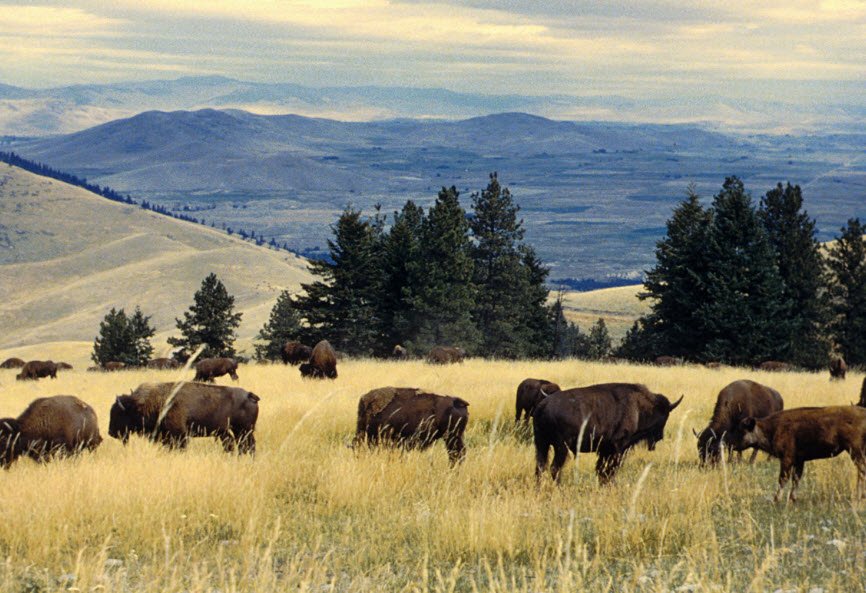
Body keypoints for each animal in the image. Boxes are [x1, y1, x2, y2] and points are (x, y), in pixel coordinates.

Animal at [109, 382, 259, 453]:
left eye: (119, 413)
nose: (110, 432)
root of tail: (249, 395)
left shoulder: (179, 435)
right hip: (231, 432)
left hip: (244, 430)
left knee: (247, 445)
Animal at [533, 383, 683, 484]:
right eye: (664, 416)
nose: (660, 436)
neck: (639, 407)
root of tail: (543, 406)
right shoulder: (618, 447)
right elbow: (610, 469)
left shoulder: (605, 450)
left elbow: (601, 469)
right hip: (561, 447)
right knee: (554, 468)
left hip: (541, 445)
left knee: (540, 467)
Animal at [738, 406, 866, 502]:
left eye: (743, 430)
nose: (734, 445)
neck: (772, 428)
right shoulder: (799, 461)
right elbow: (796, 479)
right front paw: (792, 499)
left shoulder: (787, 460)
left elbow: (783, 479)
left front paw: (776, 500)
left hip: (855, 452)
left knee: (861, 472)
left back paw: (858, 497)